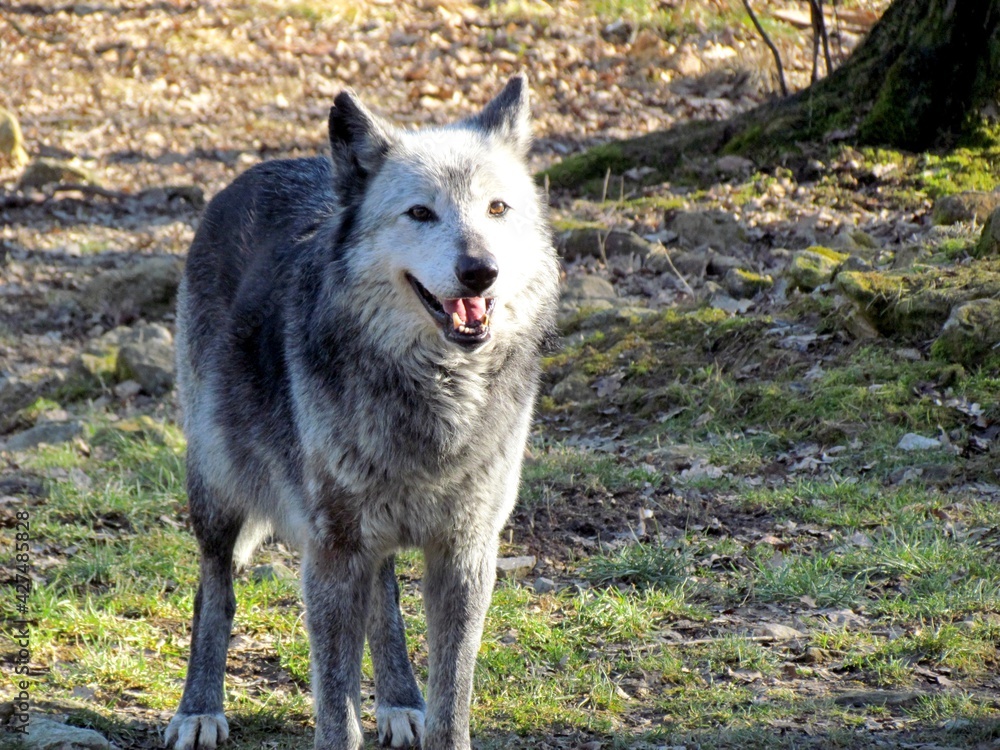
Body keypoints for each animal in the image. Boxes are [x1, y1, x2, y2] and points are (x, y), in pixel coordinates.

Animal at [164, 75, 560, 750]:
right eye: (420, 213)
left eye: (497, 209)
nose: (480, 271)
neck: (436, 393)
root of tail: (263, 167)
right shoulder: (332, 552)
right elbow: (335, 702)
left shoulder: (465, 553)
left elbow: (452, 696)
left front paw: (423, 711)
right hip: (217, 485)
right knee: (214, 589)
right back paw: (199, 709)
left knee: (385, 597)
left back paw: (400, 701)